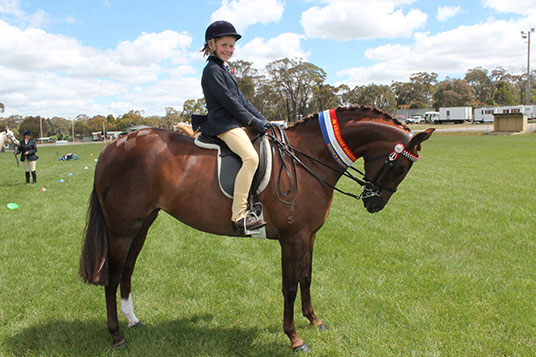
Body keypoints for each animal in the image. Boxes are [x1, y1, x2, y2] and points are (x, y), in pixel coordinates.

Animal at [80, 105, 436, 350]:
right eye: (400, 166)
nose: (374, 204)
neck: (309, 158)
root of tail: (113, 146)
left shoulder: (308, 236)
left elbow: (306, 278)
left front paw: (314, 320)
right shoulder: (292, 239)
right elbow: (289, 286)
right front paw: (294, 337)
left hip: (142, 224)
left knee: (127, 270)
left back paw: (133, 320)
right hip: (122, 229)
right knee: (112, 276)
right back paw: (116, 335)